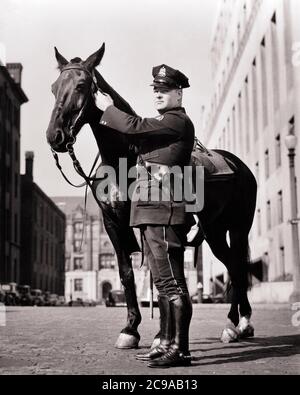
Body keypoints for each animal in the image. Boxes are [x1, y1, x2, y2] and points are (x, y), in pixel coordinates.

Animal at [45, 44, 256, 350]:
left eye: (82, 85)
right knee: (231, 264)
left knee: (238, 268)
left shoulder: (146, 223)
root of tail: (238, 164)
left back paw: (236, 324)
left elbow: (156, 275)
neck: (122, 160)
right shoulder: (113, 224)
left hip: (238, 228)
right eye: (54, 87)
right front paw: (130, 328)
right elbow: (126, 273)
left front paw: (158, 335)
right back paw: (239, 323)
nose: (55, 136)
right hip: (214, 230)